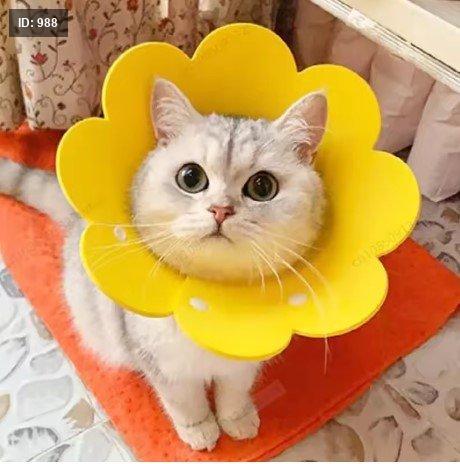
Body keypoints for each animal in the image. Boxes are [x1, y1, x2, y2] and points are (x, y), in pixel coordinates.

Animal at [0, 78, 327, 451]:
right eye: (191, 178)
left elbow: (233, 393)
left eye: (262, 186)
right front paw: (200, 430)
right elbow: (184, 401)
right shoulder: (162, 365)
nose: (221, 210)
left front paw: (238, 420)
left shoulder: (243, 365)